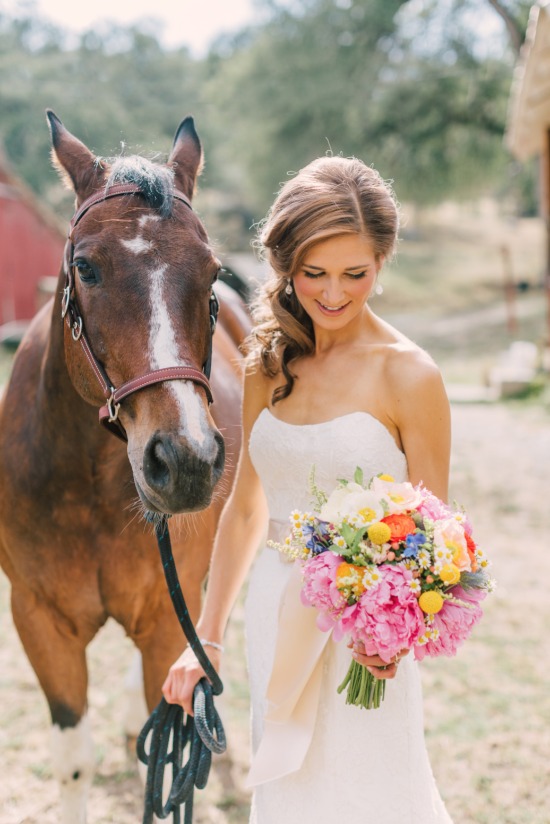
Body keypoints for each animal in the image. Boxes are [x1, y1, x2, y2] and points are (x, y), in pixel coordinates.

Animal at [0, 114, 248, 824]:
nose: (186, 459)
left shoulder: (166, 622)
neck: (86, 485)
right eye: (85, 267)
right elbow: (76, 764)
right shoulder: (39, 621)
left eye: (212, 272)